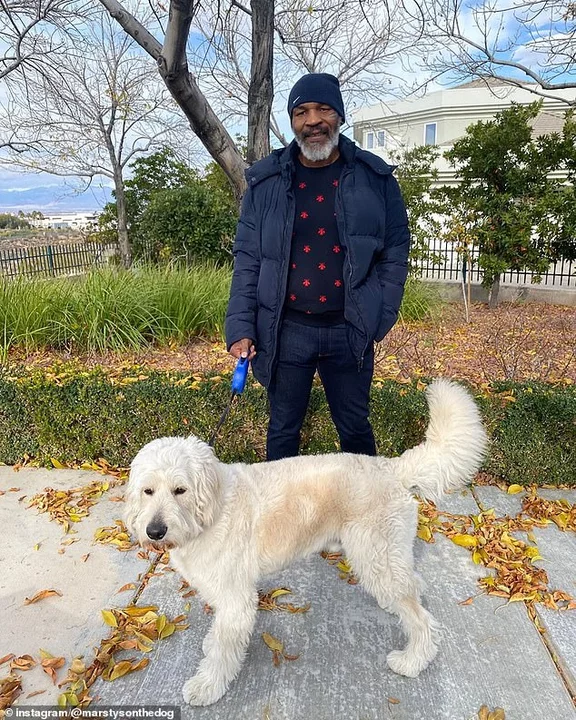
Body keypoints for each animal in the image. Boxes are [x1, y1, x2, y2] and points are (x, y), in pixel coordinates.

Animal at [125, 379, 488, 706]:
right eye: (148, 490)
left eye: (180, 490)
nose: (154, 531)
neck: (210, 510)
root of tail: (390, 466)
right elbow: (218, 639)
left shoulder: (236, 599)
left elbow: (223, 651)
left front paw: (207, 687)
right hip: (388, 556)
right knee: (412, 584)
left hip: (376, 556)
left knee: (423, 620)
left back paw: (412, 660)